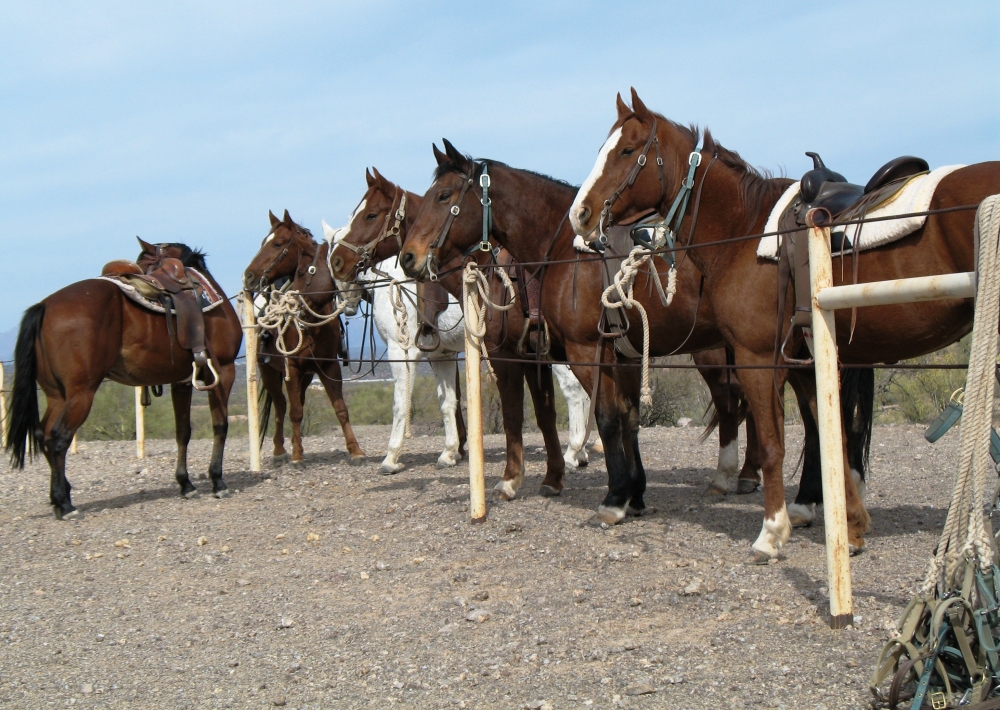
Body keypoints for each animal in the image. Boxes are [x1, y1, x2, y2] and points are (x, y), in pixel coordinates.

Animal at [5, 241, 242, 516]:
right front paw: (217, 481)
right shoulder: (223, 370)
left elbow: (183, 431)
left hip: (56, 395)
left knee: (43, 434)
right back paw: (64, 505)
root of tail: (45, 306)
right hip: (81, 393)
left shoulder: (181, 381)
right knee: (59, 437)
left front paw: (186, 484)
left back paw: (62, 495)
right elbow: (220, 425)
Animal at [242, 209, 368, 470]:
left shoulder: (328, 367)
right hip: (269, 371)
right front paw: (297, 456)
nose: (248, 276)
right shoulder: (292, 366)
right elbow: (295, 412)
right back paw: (280, 451)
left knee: (294, 401)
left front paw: (355, 450)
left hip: (306, 375)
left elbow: (340, 408)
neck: (310, 324)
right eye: (264, 242)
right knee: (281, 405)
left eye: (277, 243)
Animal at [568, 86, 996, 560]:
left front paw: (772, 533)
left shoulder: (757, 360)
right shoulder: (807, 361)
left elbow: (776, 444)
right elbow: (830, 436)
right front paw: (851, 527)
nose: (580, 214)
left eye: (627, 151)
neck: (745, 229)